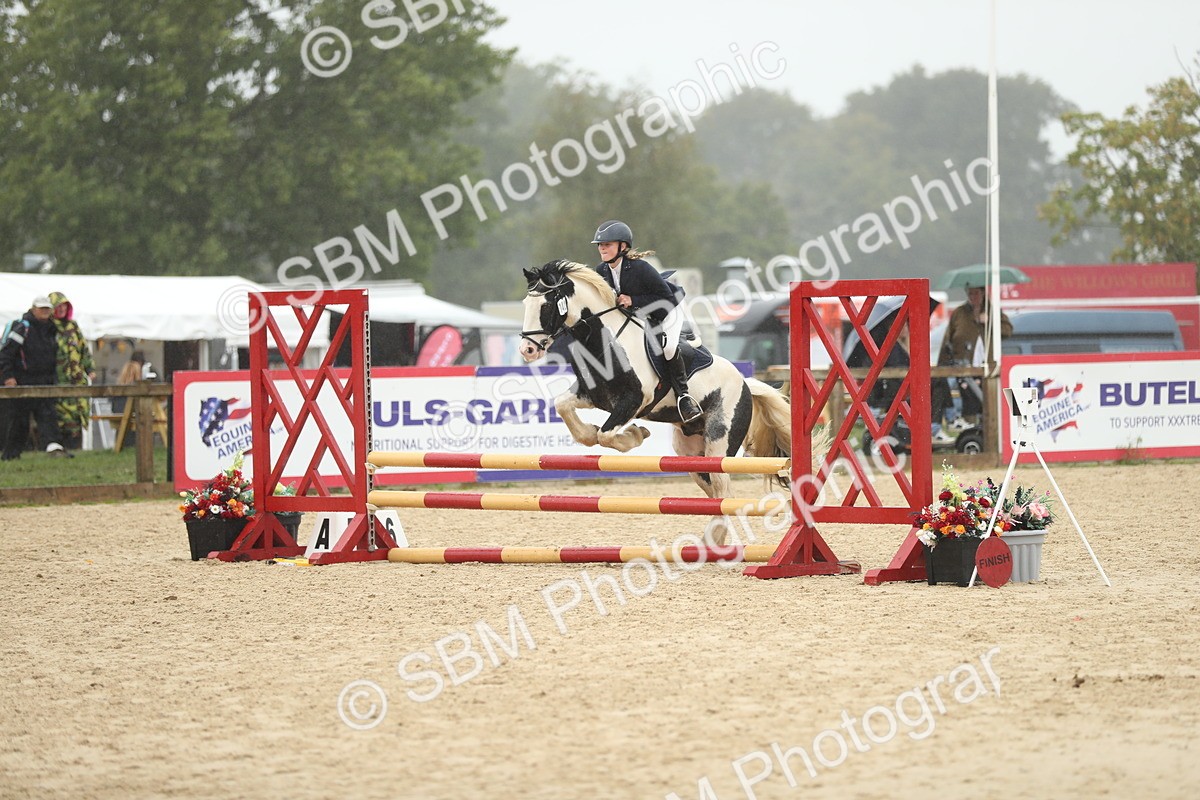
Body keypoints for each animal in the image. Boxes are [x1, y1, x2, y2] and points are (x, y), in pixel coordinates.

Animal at [518, 259, 796, 544]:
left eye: (546, 305)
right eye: (525, 303)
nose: (527, 350)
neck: (606, 340)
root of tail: (745, 383)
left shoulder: (635, 401)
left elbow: (606, 435)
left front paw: (635, 434)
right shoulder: (592, 395)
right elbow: (566, 410)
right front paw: (597, 431)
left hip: (719, 442)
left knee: (724, 490)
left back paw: (712, 541)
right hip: (690, 452)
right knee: (715, 492)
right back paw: (709, 540)